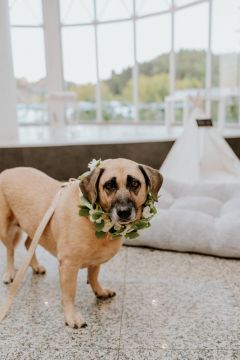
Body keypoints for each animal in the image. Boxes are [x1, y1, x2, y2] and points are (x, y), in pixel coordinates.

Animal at [0, 159, 162, 328]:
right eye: (109, 185)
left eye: (134, 183)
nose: (123, 212)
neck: (93, 222)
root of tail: (7, 171)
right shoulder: (68, 265)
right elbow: (69, 293)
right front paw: (71, 316)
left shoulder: (96, 261)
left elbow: (93, 276)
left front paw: (100, 291)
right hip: (5, 229)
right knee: (10, 250)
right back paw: (9, 273)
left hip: (36, 226)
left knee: (28, 243)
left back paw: (36, 266)